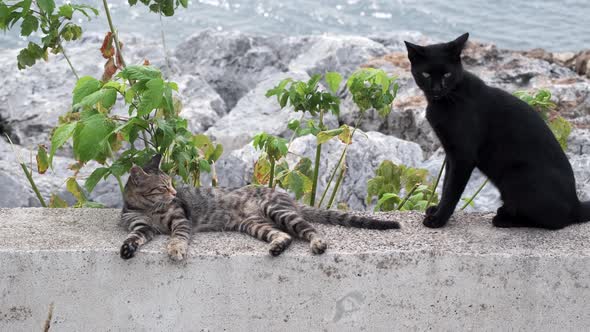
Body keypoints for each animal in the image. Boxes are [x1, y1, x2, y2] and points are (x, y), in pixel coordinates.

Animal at [118, 154, 400, 260]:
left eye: (172, 185)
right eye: (162, 187)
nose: (175, 193)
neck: (149, 209)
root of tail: (286, 196)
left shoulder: (180, 220)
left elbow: (178, 237)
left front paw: (175, 249)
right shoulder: (141, 227)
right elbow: (134, 237)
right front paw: (127, 248)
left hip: (277, 211)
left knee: (310, 230)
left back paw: (318, 244)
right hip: (255, 224)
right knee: (285, 236)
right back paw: (277, 246)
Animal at [404, 33, 590, 230]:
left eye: (447, 74)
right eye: (426, 74)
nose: (437, 89)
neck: (447, 100)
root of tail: (576, 204)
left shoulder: (463, 156)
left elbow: (451, 191)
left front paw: (439, 219)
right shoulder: (451, 154)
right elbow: (446, 182)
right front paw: (436, 210)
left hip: (515, 176)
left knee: (553, 222)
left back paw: (504, 219)